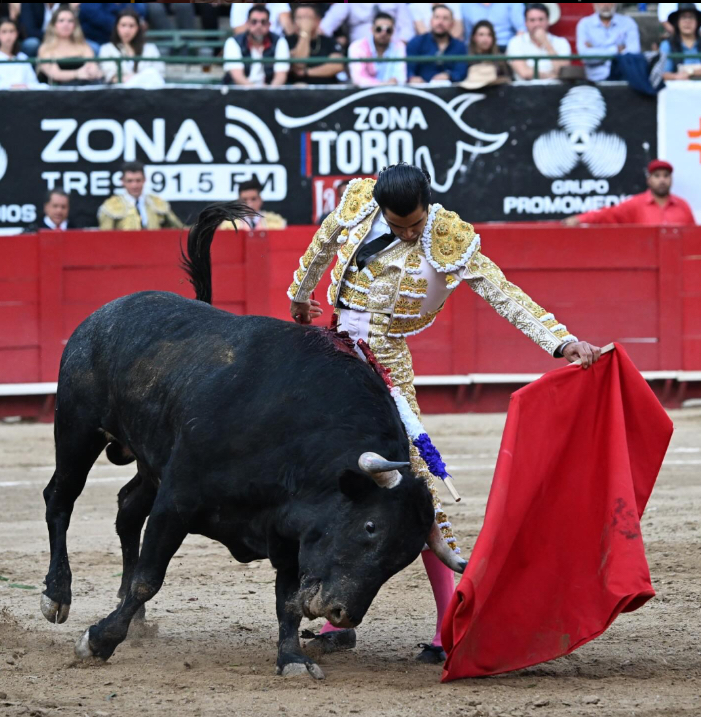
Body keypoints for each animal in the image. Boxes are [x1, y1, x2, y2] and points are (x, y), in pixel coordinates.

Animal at [40, 201, 465, 679]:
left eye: (402, 558)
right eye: (371, 526)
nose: (341, 614)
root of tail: (107, 312)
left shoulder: (288, 526)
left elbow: (287, 601)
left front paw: (293, 659)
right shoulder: (178, 501)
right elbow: (151, 578)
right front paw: (98, 640)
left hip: (149, 461)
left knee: (127, 510)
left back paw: (138, 622)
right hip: (77, 426)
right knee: (61, 496)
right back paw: (56, 596)